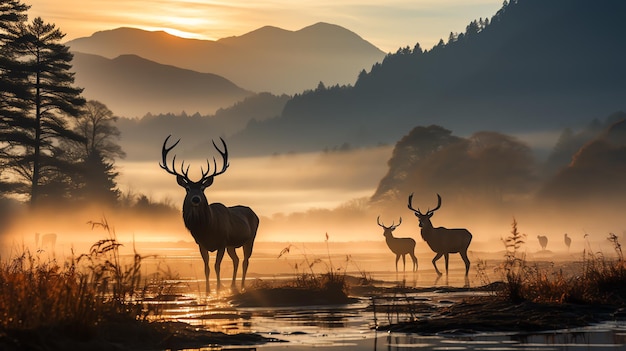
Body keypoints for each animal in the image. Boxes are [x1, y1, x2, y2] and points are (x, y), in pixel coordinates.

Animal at [162, 135, 260, 294]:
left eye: (203, 188)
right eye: (187, 188)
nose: (196, 199)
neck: (208, 228)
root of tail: (254, 213)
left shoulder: (222, 242)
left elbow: (216, 266)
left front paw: (219, 288)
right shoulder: (201, 244)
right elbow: (206, 268)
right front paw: (208, 290)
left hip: (250, 238)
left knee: (245, 261)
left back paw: (242, 286)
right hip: (231, 245)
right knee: (236, 260)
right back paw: (232, 285)